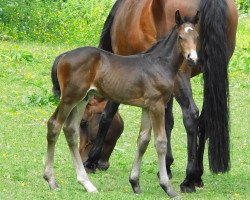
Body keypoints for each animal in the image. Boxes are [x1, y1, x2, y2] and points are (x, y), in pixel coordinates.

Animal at [43, 10, 199, 197]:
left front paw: (135, 183)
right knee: (54, 125)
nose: (192, 58)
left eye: (196, 36)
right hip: (70, 97)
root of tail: (64, 56)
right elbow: (161, 142)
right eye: (181, 37)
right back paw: (51, 180)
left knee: (70, 130)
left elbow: (143, 141)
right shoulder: (157, 105)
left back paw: (87, 184)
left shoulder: (147, 107)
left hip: (83, 99)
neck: (159, 64)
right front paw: (167, 187)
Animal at [84, 0, 238, 192]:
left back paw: (189, 179)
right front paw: (167, 165)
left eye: (84, 122)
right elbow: (168, 121)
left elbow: (107, 115)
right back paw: (197, 176)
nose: (103, 164)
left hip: (182, 75)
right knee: (205, 119)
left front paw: (91, 161)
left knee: (191, 115)